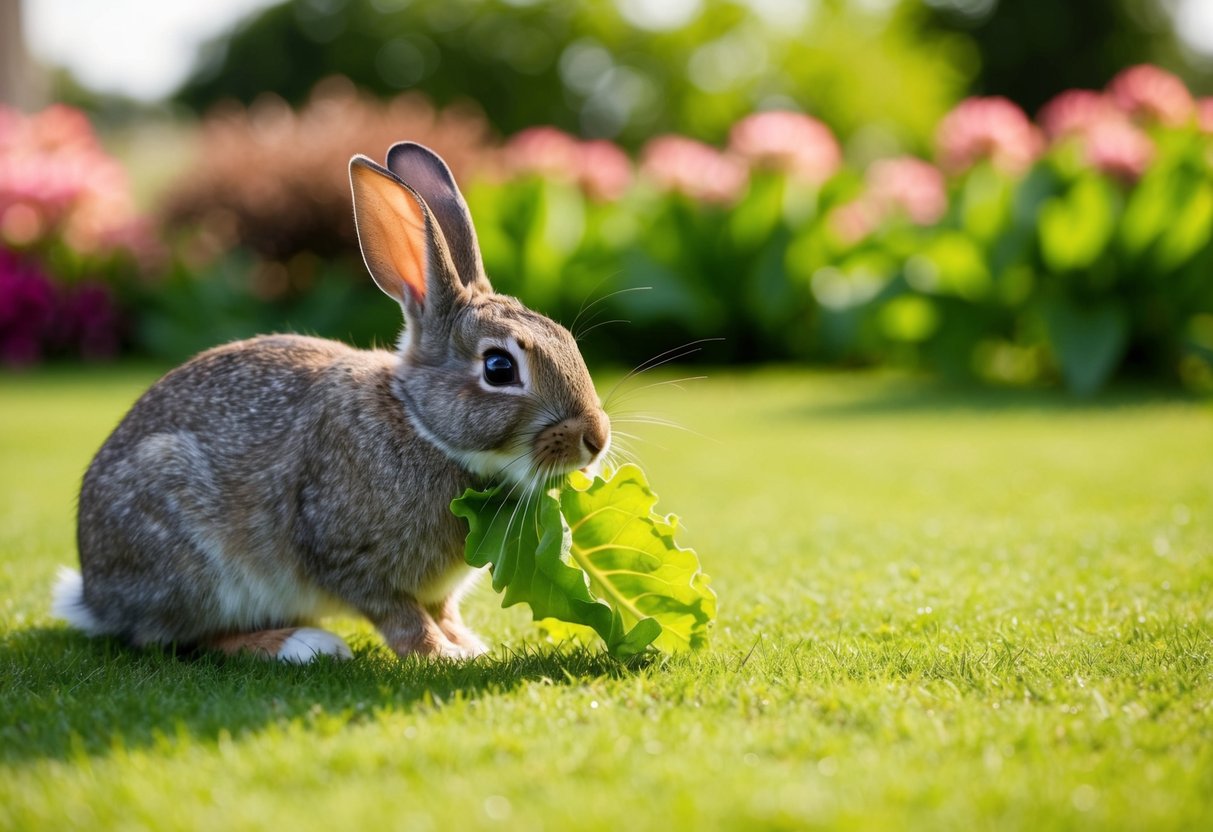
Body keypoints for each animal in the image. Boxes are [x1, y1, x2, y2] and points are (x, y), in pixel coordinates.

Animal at [52, 142, 611, 663]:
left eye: (564, 337)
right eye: (499, 368)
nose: (596, 439)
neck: (419, 424)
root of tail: (97, 597)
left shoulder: (435, 590)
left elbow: (443, 611)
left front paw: (468, 645)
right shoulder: (350, 556)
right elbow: (403, 616)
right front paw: (441, 655)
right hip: (194, 556)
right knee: (178, 638)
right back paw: (302, 644)